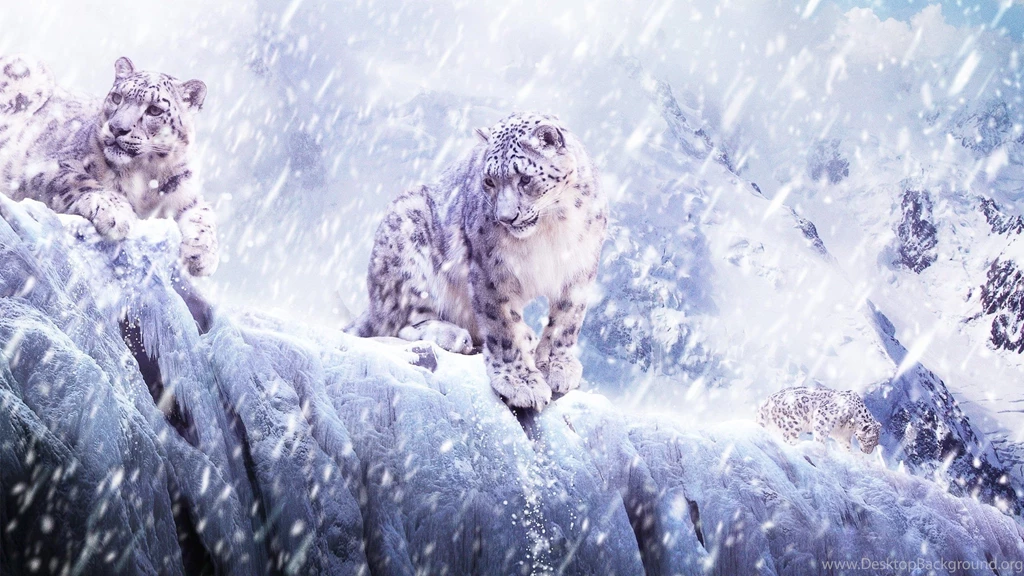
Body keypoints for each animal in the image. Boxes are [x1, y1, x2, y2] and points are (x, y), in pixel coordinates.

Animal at [0, 55, 218, 276]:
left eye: (155, 110)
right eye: (117, 97)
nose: (117, 128)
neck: (144, 174)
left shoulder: (184, 191)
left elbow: (204, 214)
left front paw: (202, 255)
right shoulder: (49, 166)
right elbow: (79, 180)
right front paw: (115, 213)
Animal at [350, 112, 608, 411]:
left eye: (525, 179)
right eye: (489, 181)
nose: (506, 217)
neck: (551, 227)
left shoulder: (580, 268)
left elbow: (567, 320)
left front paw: (557, 366)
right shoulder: (491, 270)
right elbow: (502, 326)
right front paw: (520, 383)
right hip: (407, 243)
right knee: (399, 322)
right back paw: (454, 335)